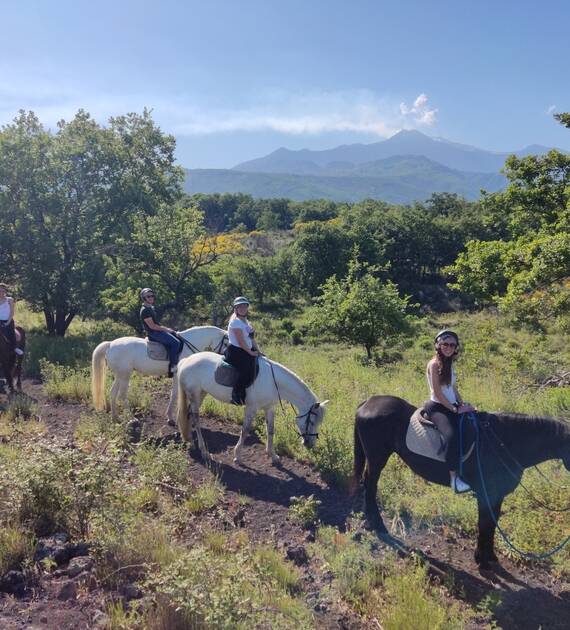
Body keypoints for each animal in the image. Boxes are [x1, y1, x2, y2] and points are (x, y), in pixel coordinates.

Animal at [91, 326, 226, 424]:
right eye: (226, 342)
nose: (224, 359)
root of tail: (110, 344)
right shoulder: (178, 376)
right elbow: (175, 394)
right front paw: (171, 417)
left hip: (120, 375)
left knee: (113, 393)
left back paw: (115, 418)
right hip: (125, 375)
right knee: (122, 395)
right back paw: (132, 418)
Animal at [350, 400, 568, 572]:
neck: (503, 442)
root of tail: (367, 403)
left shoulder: (497, 495)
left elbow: (491, 524)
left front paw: (490, 557)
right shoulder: (486, 494)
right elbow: (485, 524)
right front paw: (482, 560)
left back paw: (370, 521)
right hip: (377, 458)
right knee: (370, 486)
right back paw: (378, 525)